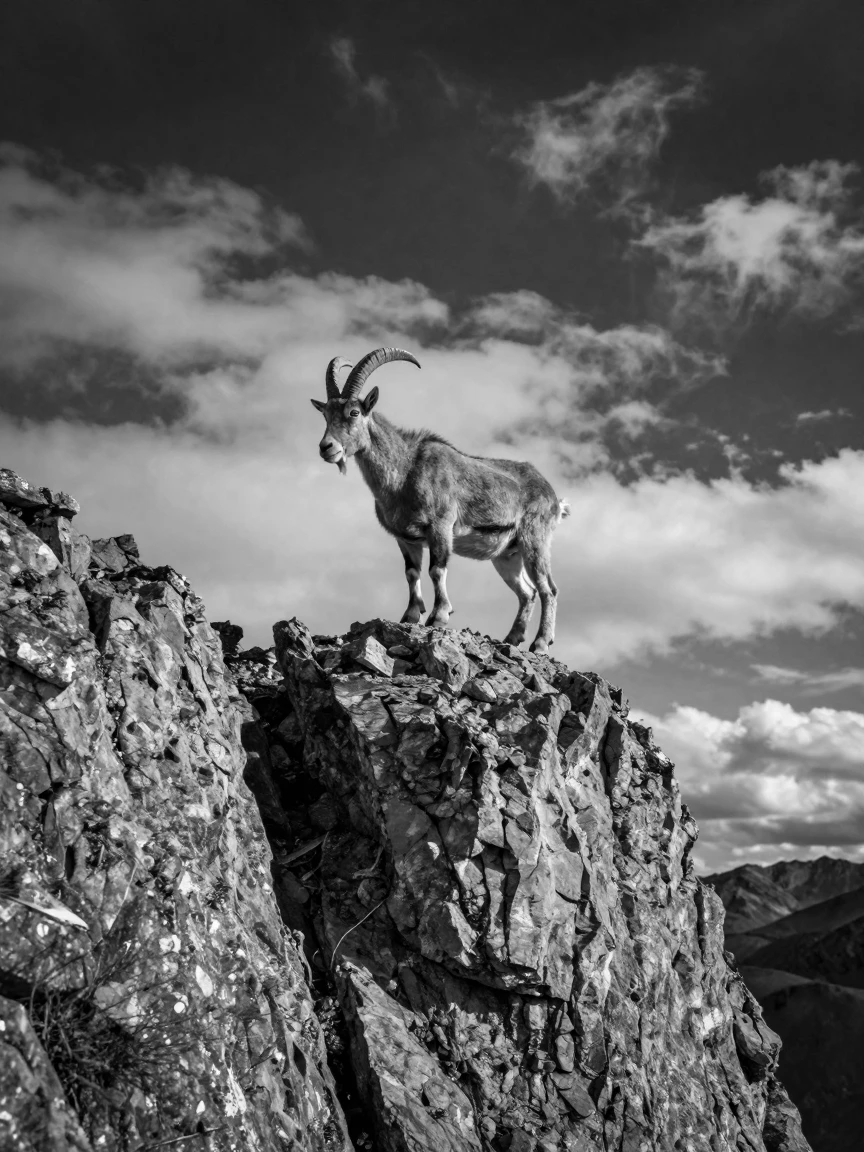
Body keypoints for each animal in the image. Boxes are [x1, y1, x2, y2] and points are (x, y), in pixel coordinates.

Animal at [311, 347, 569, 652]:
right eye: (326, 415)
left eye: (353, 412)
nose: (327, 447)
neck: (405, 471)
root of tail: (553, 496)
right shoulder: (405, 538)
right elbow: (412, 573)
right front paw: (410, 615)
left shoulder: (441, 526)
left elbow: (437, 569)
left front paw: (439, 616)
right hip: (507, 555)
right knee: (527, 592)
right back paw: (512, 638)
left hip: (535, 541)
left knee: (548, 589)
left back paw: (540, 643)